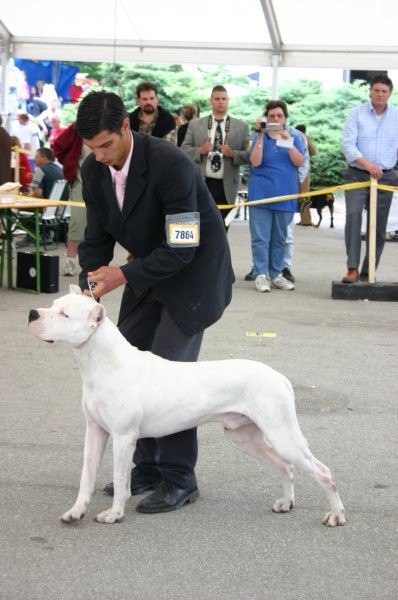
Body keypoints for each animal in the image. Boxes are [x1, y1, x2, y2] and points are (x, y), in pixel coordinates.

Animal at [28, 284, 346, 524]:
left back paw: (336, 515)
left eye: (65, 314)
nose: (33, 313)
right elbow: (87, 475)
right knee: (285, 467)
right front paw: (76, 511)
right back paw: (286, 503)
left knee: (323, 472)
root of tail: (278, 376)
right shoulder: (95, 431)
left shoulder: (122, 437)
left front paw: (114, 514)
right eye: (54, 304)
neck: (104, 363)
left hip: (282, 435)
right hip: (245, 437)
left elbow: (120, 480)